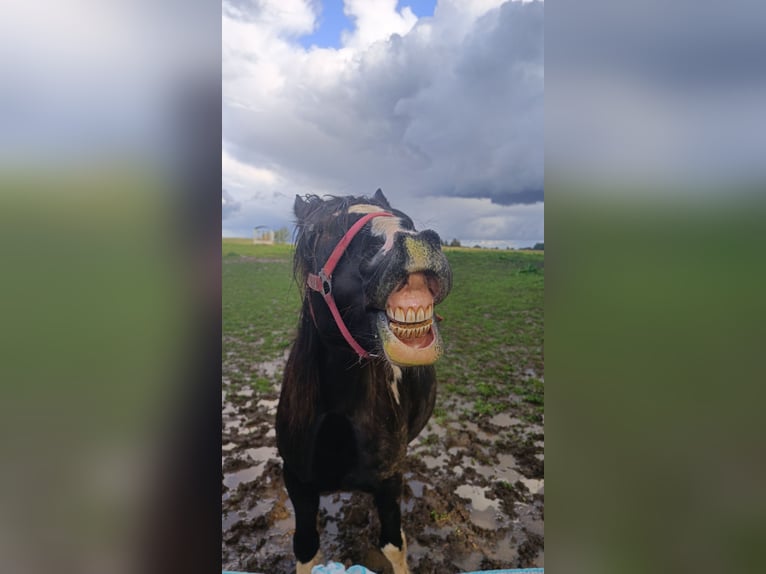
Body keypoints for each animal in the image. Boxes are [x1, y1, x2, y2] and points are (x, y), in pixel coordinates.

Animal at [275, 189, 452, 574]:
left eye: (407, 220)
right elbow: (305, 547)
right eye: (319, 232)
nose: (416, 242)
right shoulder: (297, 482)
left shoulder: (388, 483)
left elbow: (393, 545)